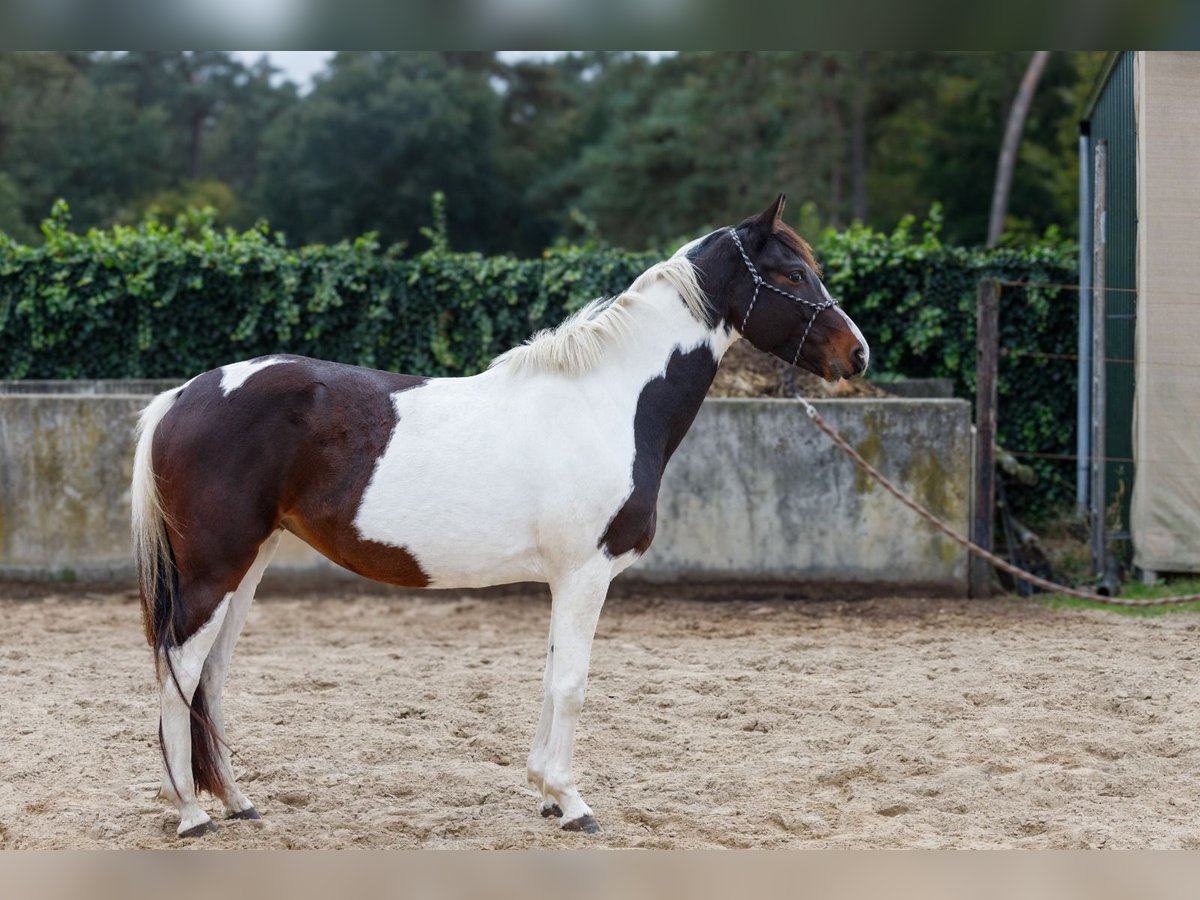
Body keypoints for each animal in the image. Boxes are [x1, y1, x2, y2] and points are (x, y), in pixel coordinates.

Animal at [131, 195, 868, 840]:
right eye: (792, 274)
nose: (857, 354)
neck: (608, 401)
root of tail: (182, 395)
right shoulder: (586, 574)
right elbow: (571, 683)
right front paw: (572, 803)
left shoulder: (566, 580)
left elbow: (550, 677)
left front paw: (546, 792)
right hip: (215, 569)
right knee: (180, 671)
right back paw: (191, 814)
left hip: (247, 565)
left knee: (211, 678)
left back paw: (237, 802)